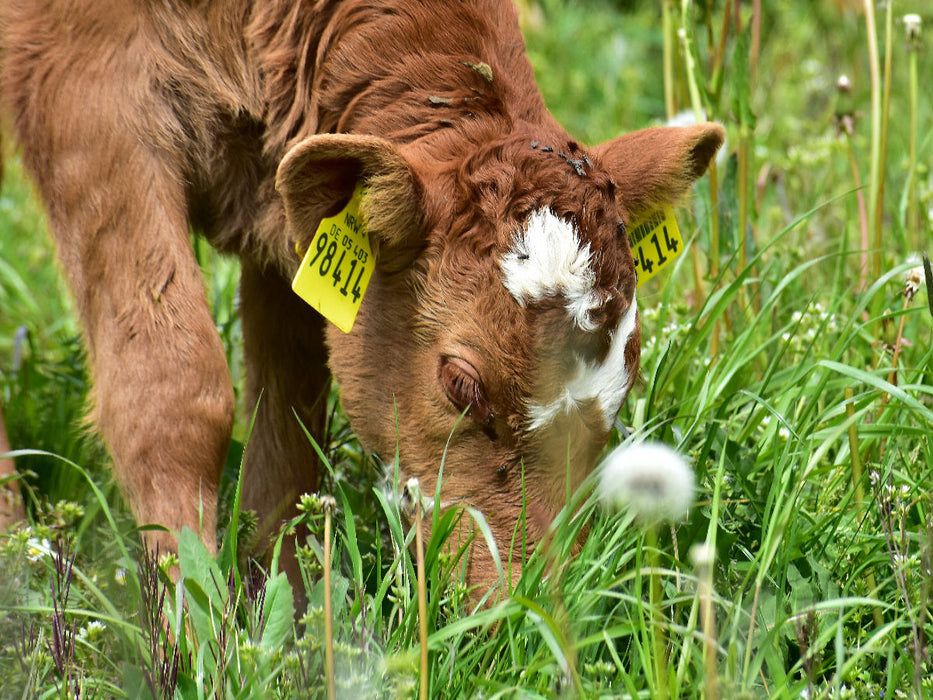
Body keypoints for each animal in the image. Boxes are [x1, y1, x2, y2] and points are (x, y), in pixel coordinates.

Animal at [0, 1, 720, 596]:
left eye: (621, 391)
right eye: (461, 384)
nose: (529, 608)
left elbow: (289, 425)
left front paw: (286, 623)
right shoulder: (88, 91)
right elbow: (172, 391)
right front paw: (195, 643)